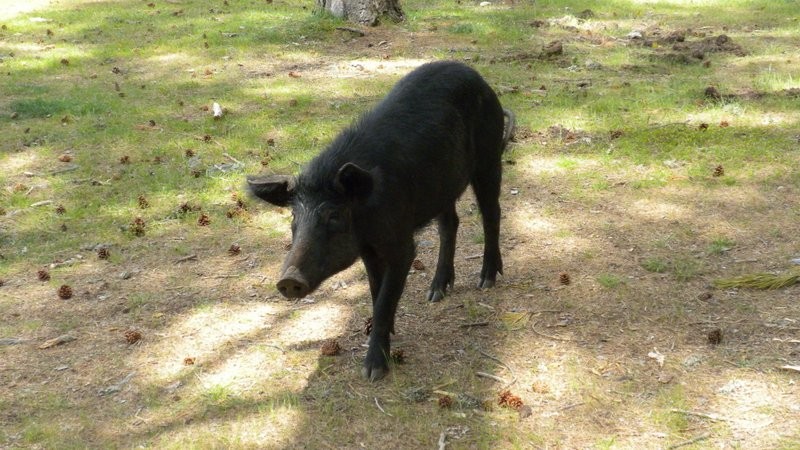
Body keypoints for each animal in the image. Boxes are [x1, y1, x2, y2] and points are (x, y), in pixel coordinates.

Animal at [247, 60, 516, 380]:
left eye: (334, 215)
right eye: (293, 216)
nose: (288, 279)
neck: (367, 219)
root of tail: (479, 78)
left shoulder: (401, 244)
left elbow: (387, 295)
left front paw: (373, 372)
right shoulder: (367, 249)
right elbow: (376, 291)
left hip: (489, 157)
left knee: (491, 213)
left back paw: (486, 281)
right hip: (441, 186)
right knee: (450, 223)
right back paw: (435, 293)